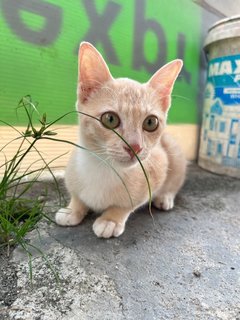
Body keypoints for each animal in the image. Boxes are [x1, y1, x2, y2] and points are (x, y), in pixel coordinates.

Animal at [55, 42, 187, 238]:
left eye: (151, 122)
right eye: (110, 119)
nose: (135, 146)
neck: (103, 167)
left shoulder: (158, 165)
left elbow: (128, 204)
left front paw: (111, 219)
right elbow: (77, 195)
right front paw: (72, 209)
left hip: (174, 153)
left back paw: (165, 197)